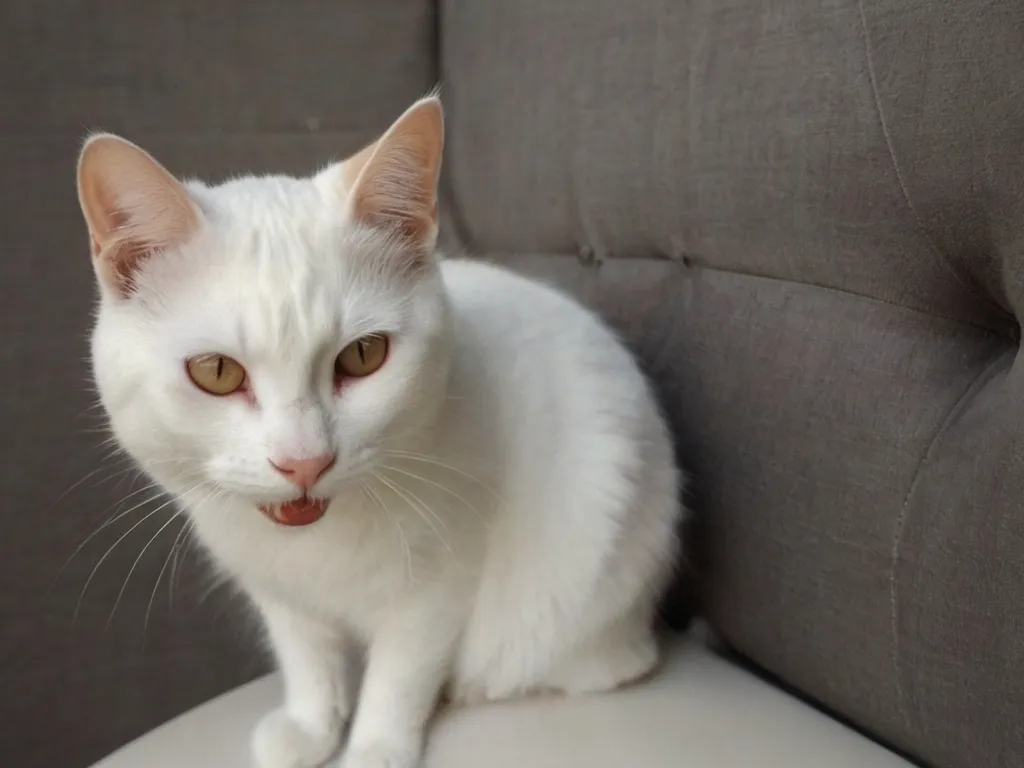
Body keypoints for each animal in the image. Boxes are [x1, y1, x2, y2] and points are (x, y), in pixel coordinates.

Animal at [79, 99, 684, 768]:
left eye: (364, 355)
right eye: (216, 371)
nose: (304, 461)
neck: (317, 544)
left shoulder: (439, 585)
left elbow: (400, 676)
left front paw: (374, 748)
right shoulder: (281, 593)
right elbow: (306, 658)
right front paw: (311, 726)